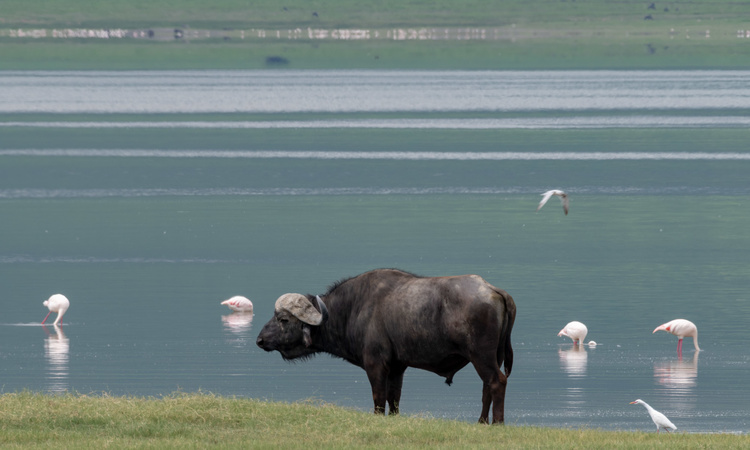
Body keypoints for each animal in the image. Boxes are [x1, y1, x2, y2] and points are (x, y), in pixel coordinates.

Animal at [258, 268, 516, 424]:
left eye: (283, 319)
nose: (260, 339)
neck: (353, 309)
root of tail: (494, 290)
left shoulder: (376, 365)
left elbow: (378, 397)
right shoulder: (397, 368)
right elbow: (394, 398)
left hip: (481, 356)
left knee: (497, 382)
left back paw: (497, 422)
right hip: (493, 357)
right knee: (487, 387)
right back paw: (482, 422)